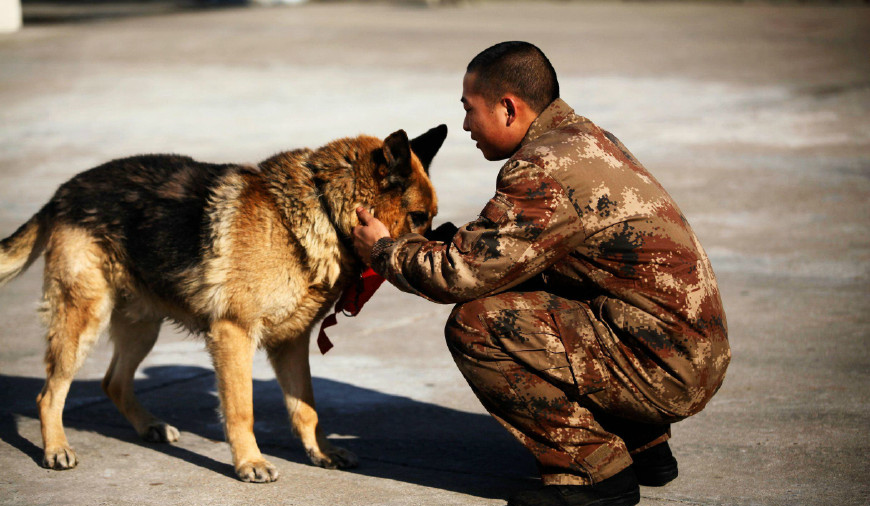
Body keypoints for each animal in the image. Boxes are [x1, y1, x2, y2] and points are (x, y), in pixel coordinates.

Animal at [0, 124, 446, 480]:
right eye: (419, 217)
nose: (440, 245)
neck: (322, 206)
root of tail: (64, 191)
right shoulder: (234, 335)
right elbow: (241, 408)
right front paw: (249, 462)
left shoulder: (291, 343)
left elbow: (306, 407)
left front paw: (320, 452)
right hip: (83, 320)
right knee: (48, 395)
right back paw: (56, 448)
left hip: (143, 326)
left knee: (113, 381)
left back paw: (148, 426)